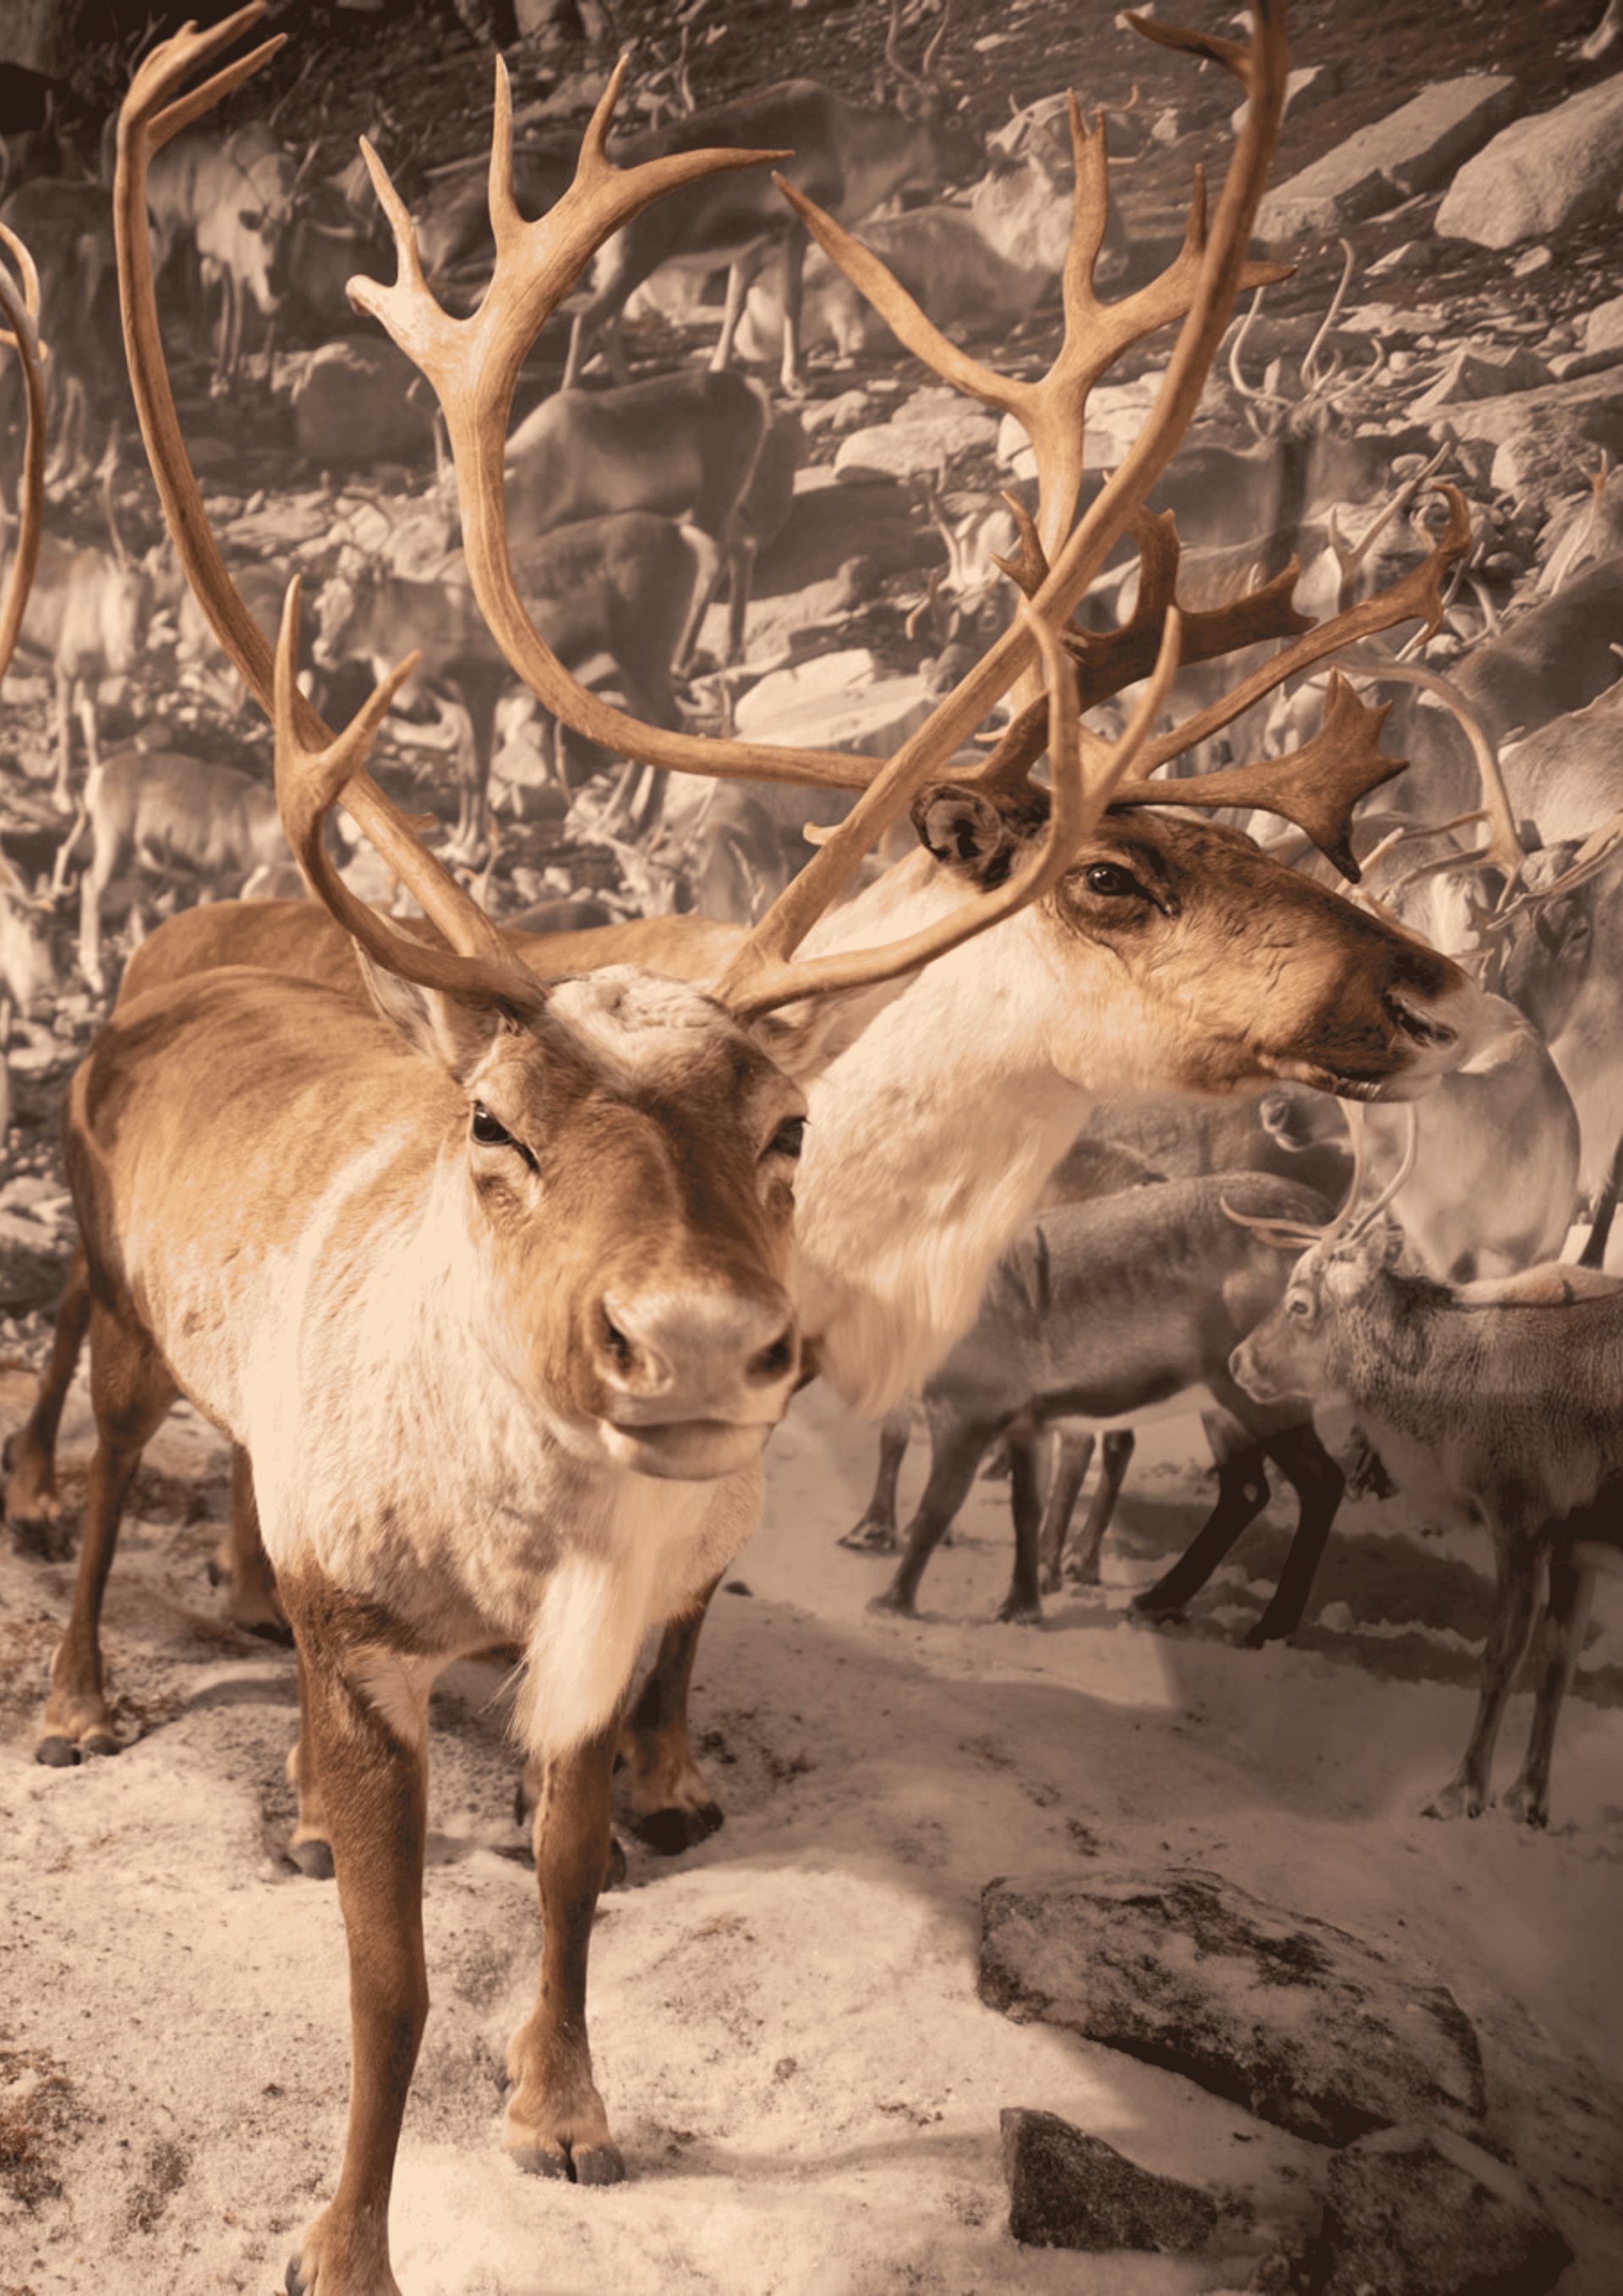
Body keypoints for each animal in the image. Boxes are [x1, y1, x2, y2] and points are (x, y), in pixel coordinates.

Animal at [16, 12, 1503, 2280]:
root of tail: (189, 937)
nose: (1432, 985)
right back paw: (90, 1673)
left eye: (783, 1118)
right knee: (102, 1443)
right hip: (118, 1285)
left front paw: (571, 2081)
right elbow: (389, 1973)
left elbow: (572, 1850)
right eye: (1116, 873)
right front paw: (347, 2231)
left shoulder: (649, 1561)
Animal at [1231, 1129, 1623, 1830]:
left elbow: (1500, 1657)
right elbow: (1558, 1667)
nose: (1237, 1360)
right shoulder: (1579, 1546)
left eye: (1300, 1303)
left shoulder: (1522, 1519)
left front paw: (1460, 1792)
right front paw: (1530, 1803)